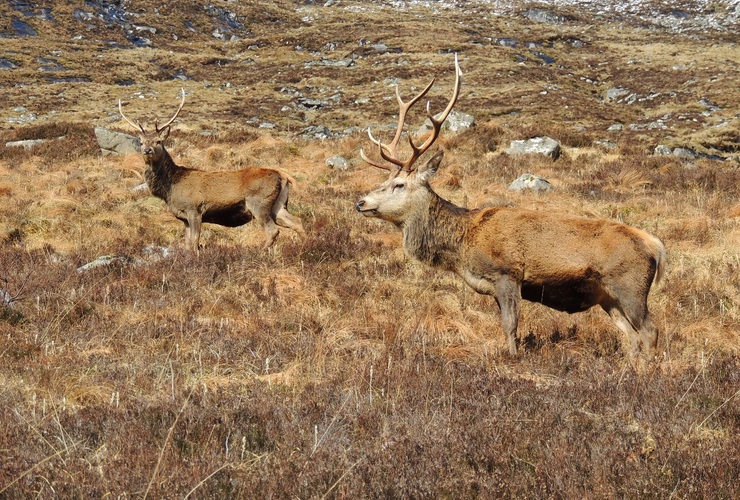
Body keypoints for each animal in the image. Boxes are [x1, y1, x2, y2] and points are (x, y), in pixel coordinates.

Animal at [118, 89, 305, 252]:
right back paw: (306, 246)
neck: (170, 188)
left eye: (158, 141)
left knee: (272, 230)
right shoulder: (184, 217)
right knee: (297, 221)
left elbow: (194, 242)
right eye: (141, 142)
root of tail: (284, 176)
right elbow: (187, 244)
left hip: (259, 202)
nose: (147, 150)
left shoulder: (194, 209)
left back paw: (261, 252)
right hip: (279, 204)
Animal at [355, 55, 666, 361]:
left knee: (650, 330)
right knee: (631, 336)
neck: (463, 245)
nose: (361, 202)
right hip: (608, 297)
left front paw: (513, 358)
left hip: (630, 286)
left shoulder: (507, 274)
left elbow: (510, 326)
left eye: (398, 184)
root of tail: (656, 247)